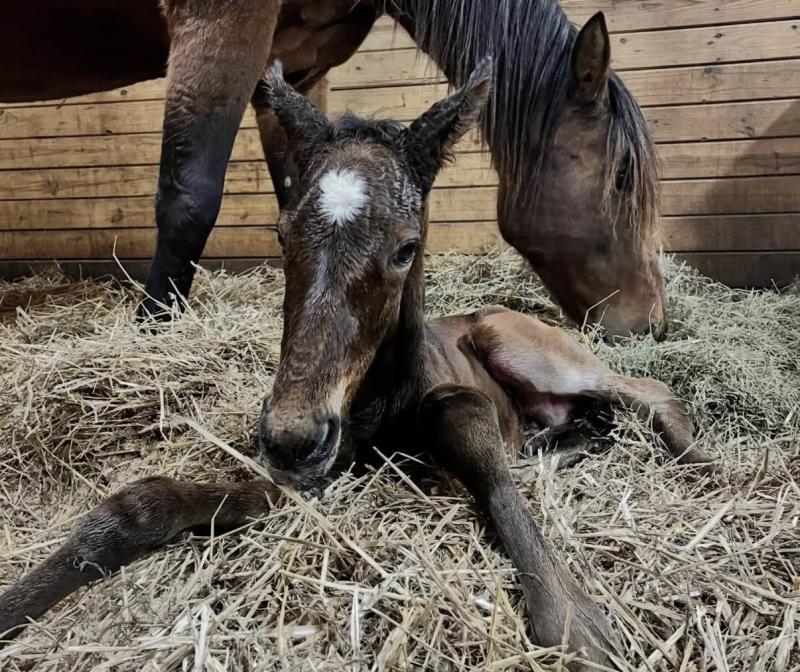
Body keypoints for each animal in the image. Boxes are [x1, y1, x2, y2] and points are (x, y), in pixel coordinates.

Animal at [0, 60, 714, 669]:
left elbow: (465, 421)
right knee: (589, 420)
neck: (377, 403)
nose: (291, 436)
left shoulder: (432, 409)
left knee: (644, 386)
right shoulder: (325, 463)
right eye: (282, 234)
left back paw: (706, 463)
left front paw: (574, 620)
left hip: (519, 343)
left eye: (406, 248)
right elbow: (147, 504)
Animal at [1, 0, 664, 338]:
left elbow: (300, 191)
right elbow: (189, 200)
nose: (653, 322)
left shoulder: (293, 65)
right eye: (622, 177)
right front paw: (151, 333)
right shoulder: (220, 22)